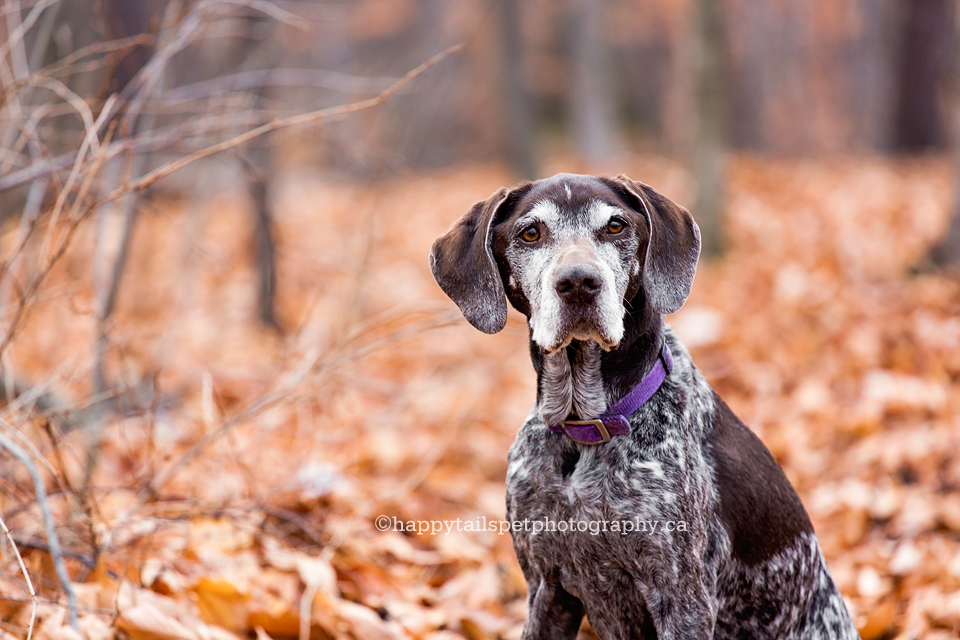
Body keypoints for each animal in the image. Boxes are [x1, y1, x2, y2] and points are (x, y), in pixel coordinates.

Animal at [432, 175, 860, 640]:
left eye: (616, 226)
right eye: (530, 233)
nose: (579, 282)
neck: (585, 424)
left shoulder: (682, 599)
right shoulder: (546, 589)